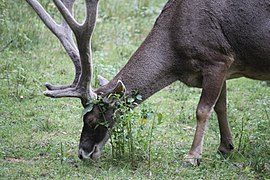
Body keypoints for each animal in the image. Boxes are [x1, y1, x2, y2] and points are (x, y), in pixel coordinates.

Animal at [26, 0, 270, 166]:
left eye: (92, 119)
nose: (82, 153)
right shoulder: (221, 68)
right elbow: (221, 106)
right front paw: (226, 147)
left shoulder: (217, 58)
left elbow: (202, 110)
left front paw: (192, 156)